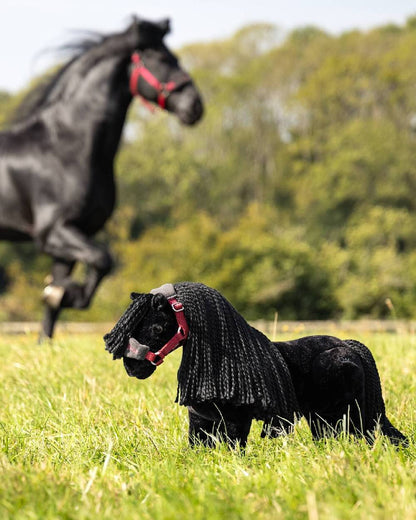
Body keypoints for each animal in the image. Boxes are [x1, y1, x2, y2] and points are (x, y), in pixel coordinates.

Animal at [0, 16, 203, 338]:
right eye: (161, 59)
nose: (195, 105)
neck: (65, 147)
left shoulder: (69, 241)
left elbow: (54, 303)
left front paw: (49, 330)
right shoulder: (53, 233)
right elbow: (102, 260)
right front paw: (69, 294)